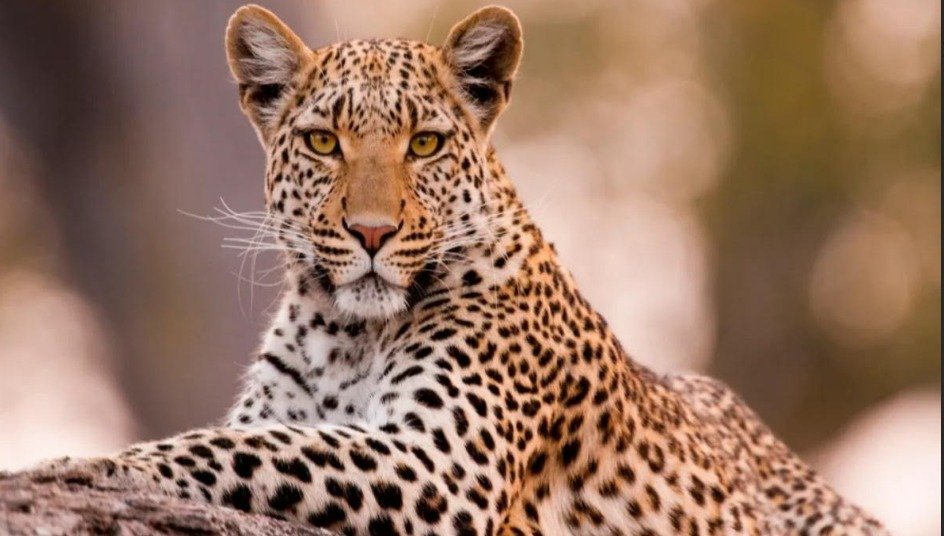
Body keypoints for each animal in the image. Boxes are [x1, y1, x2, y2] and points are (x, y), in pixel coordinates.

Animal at [23, 4, 888, 535]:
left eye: (426, 144)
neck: (347, 332)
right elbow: (257, 436)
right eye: (324, 142)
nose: (371, 232)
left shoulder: (441, 464)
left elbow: (249, 449)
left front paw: (83, 465)